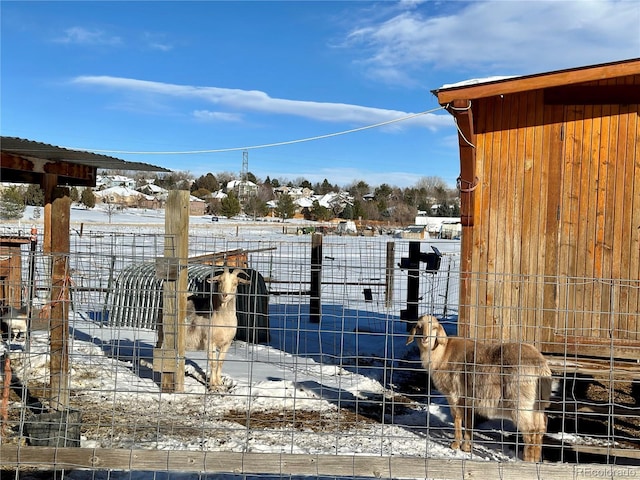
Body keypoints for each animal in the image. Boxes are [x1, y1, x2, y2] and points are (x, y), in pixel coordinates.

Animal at [408, 314, 552, 464]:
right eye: (419, 326)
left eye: (434, 328)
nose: (425, 338)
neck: (442, 354)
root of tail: (541, 366)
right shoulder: (467, 399)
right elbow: (468, 420)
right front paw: (466, 447)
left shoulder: (454, 394)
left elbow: (457, 418)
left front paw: (455, 444)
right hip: (537, 403)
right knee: (540, 428)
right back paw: (535, 458)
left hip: (521, 402)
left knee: (531, 431)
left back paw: (527, 460)